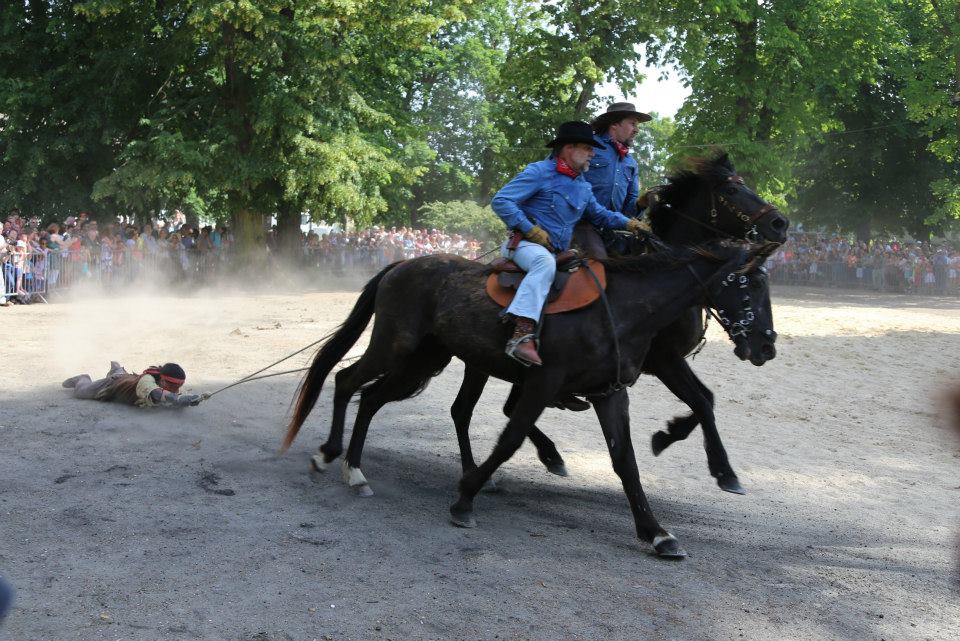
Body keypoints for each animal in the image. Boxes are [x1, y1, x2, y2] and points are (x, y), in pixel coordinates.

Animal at [284, 240, 780, 556]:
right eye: (751, 284)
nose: (766, 346)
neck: (620, 310)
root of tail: (400, 266)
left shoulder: (610, 393)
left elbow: (627, 461)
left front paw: (656, 532)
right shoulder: (542, 384)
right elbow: (510, 438)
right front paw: (465, 498)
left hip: (422, 360)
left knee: (371, 398)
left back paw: (354, 468)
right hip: (395, 348)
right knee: (346, 381)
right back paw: (333, 457)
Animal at [450, 152, 788, 492]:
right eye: (732, 190)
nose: (780, 223)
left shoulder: (666, 362)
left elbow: (706, 399)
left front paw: (671, 437)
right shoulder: (665, 360)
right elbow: (702, 402)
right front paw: (720, 469)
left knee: (502, 408)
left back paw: (548, 454)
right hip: (481, 363)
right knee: (467, 410)